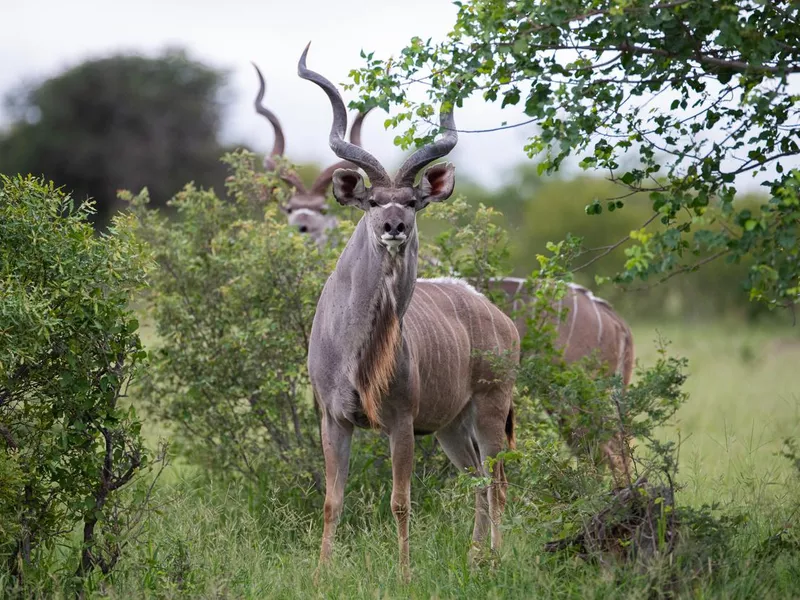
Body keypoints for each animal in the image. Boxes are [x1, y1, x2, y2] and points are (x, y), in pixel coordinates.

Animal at [300, 44, 520, 580]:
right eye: (373, 201)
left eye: (414, 201)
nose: (394, 226)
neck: (355, 348)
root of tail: (502, 319)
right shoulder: (333, 419)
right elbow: (332, 501)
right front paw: (321, 575)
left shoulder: (401, 423)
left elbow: (400, 501)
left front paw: (403, 573)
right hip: (451, 428)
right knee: (477, 480)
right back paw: (475, 558)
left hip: (489, 411)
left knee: (497, 483)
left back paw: (497, 559)